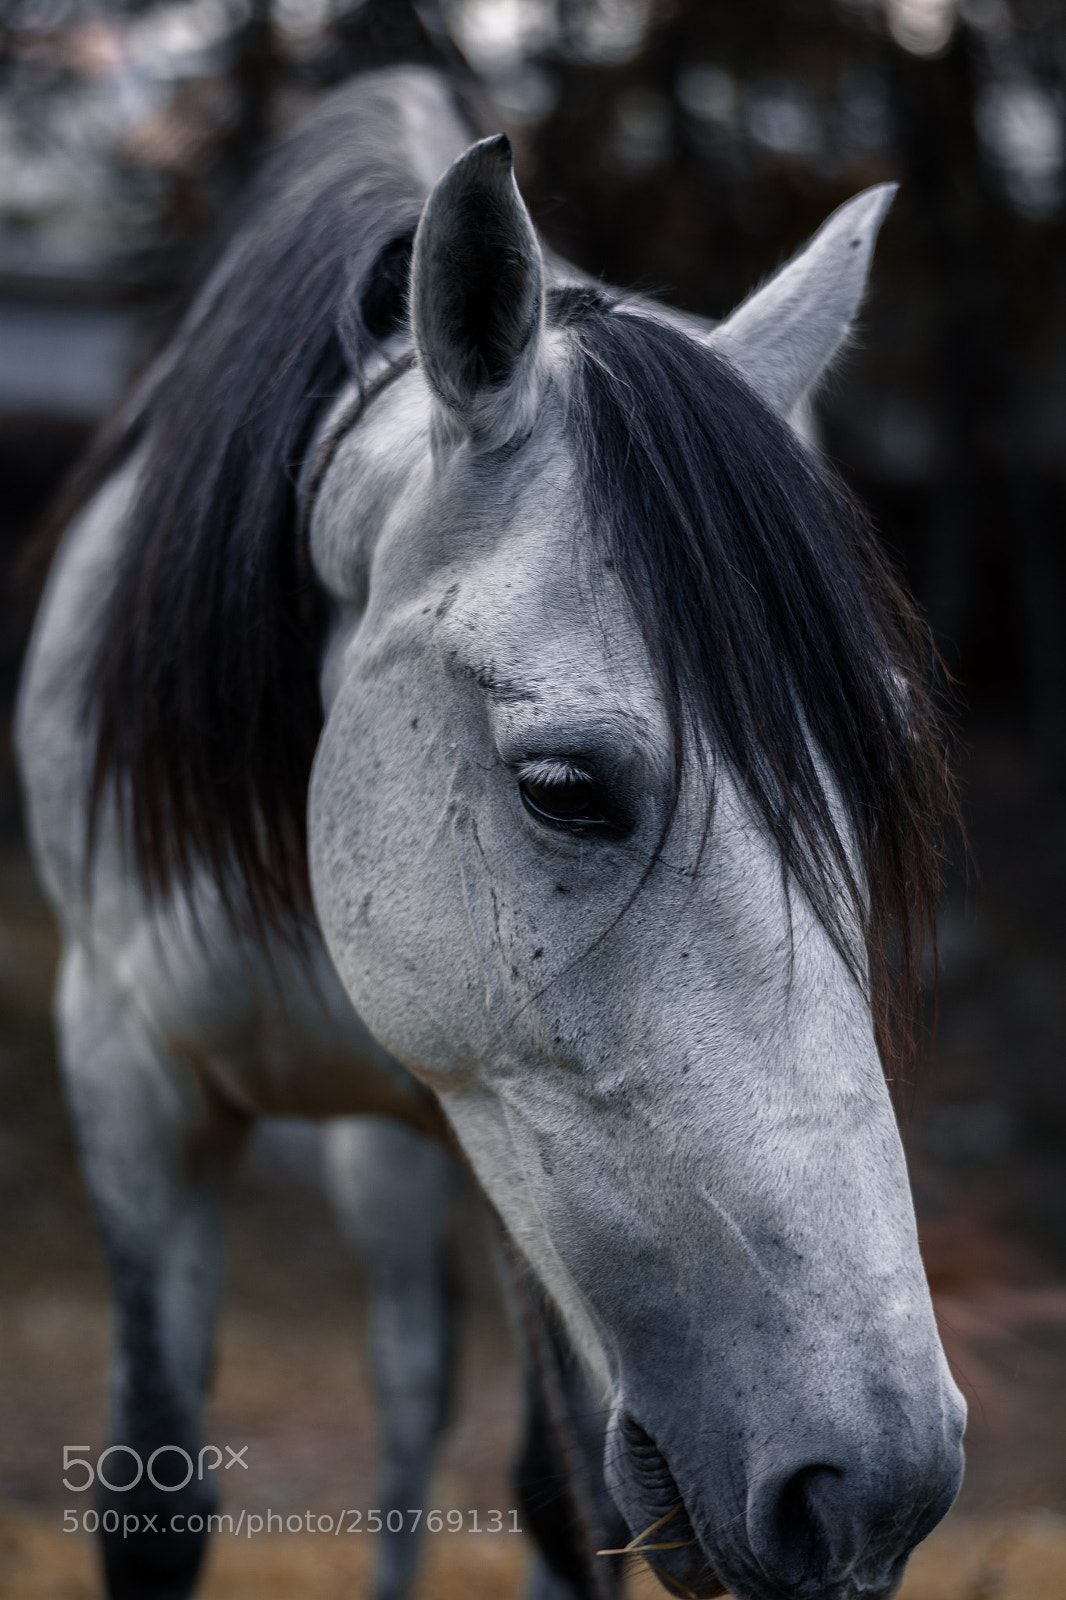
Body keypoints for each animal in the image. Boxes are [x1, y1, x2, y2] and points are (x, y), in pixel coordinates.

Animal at [17, 63, 966, 1600]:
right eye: (566, 788)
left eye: (871, 775)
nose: (880, 1490)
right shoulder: (125, 1064)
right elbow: (154, 1494)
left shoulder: (505, 1144)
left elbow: (558, 1501)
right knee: (409, 1379)